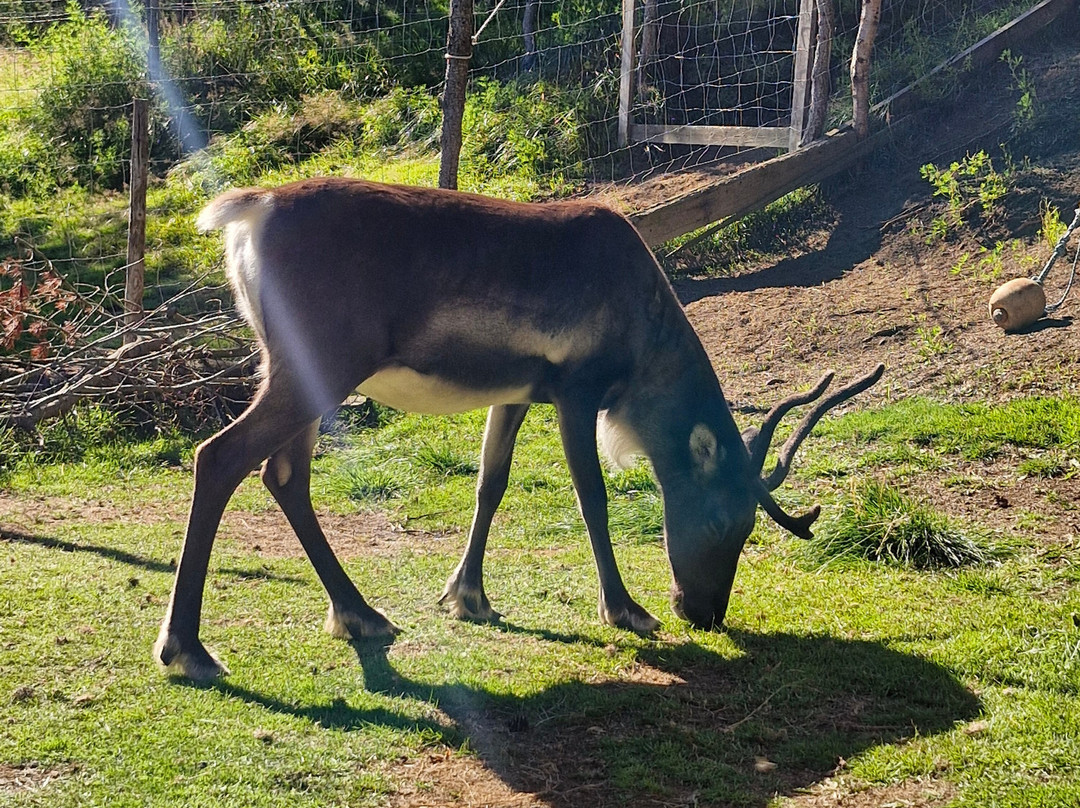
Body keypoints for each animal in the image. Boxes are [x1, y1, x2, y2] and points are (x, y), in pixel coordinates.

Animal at [154, 177, 883, 680]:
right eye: (724, 522)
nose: (702, 613)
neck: (644, 338)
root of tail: (251, 209)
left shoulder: (517, 392)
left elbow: (491, 483)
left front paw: (467, 596)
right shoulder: (575, 389)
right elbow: (592, 497)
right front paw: (626, 609)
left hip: (297, 370)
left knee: (283, 475)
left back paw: (359, 614)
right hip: (323, 367)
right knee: (220, 456)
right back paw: (188, 648)